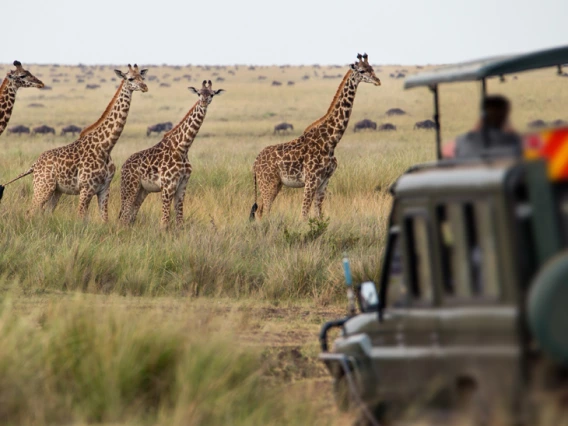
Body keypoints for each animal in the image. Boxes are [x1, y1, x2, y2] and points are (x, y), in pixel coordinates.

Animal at [0, 66, 149, 221]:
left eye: (142, 77)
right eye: (130, 78)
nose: (145, 87)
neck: (106, 146)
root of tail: (35, 165)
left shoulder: (104, 188)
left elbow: (104, 219)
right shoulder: (86, 188)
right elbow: (81, 217)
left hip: (56, 190)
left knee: (45, 212)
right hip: (43, 187)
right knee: (30, 211)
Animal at [118, 79, 223, 226]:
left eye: (212, 94)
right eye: (199, 93)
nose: (203, 102)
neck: (182, 148)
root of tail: (123, 167)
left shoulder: (182, 185)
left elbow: (179, 220)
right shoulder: (168, 186)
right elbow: (165, 221)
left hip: (142, 190)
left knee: (130, 216)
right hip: (130, 187)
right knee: (124, 217)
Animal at [250, 53, 380, 220]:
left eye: (372, 68)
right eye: (362, 71)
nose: (378, 81)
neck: (331, 141)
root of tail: (255, 163)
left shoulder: (324, 181)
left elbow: (318, 214)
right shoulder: (311, 180)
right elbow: (304, 214)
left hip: (274, 183)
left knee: (260, 210)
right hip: (268, 183)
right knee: (264, 211)